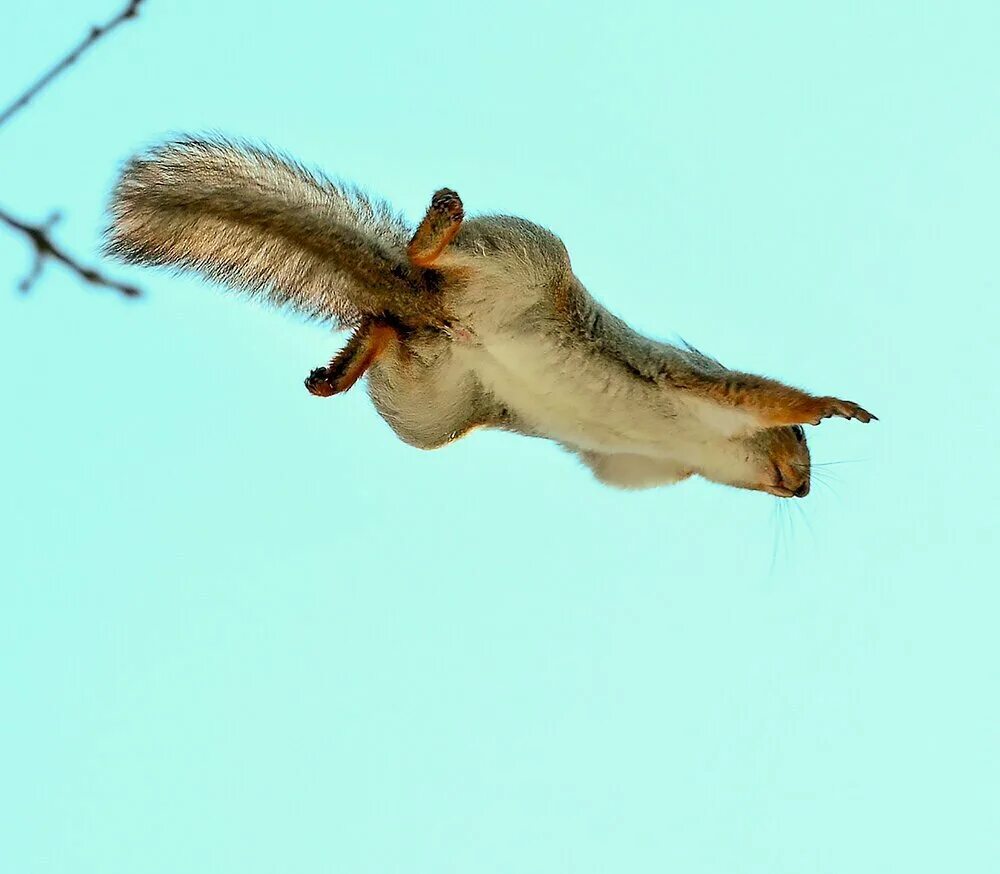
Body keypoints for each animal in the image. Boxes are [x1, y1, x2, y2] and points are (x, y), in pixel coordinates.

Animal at [107, 133, 876, 494]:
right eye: (800, 448)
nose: (803, 490)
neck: (703, 454)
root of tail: (426, 306)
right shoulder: (701, 385)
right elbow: (755, 391)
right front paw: (832, 407)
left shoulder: (644, 469)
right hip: (526, 260)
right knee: (430, 258)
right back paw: (435, 230)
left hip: (428, 409)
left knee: (389, 335)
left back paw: (348, 361)